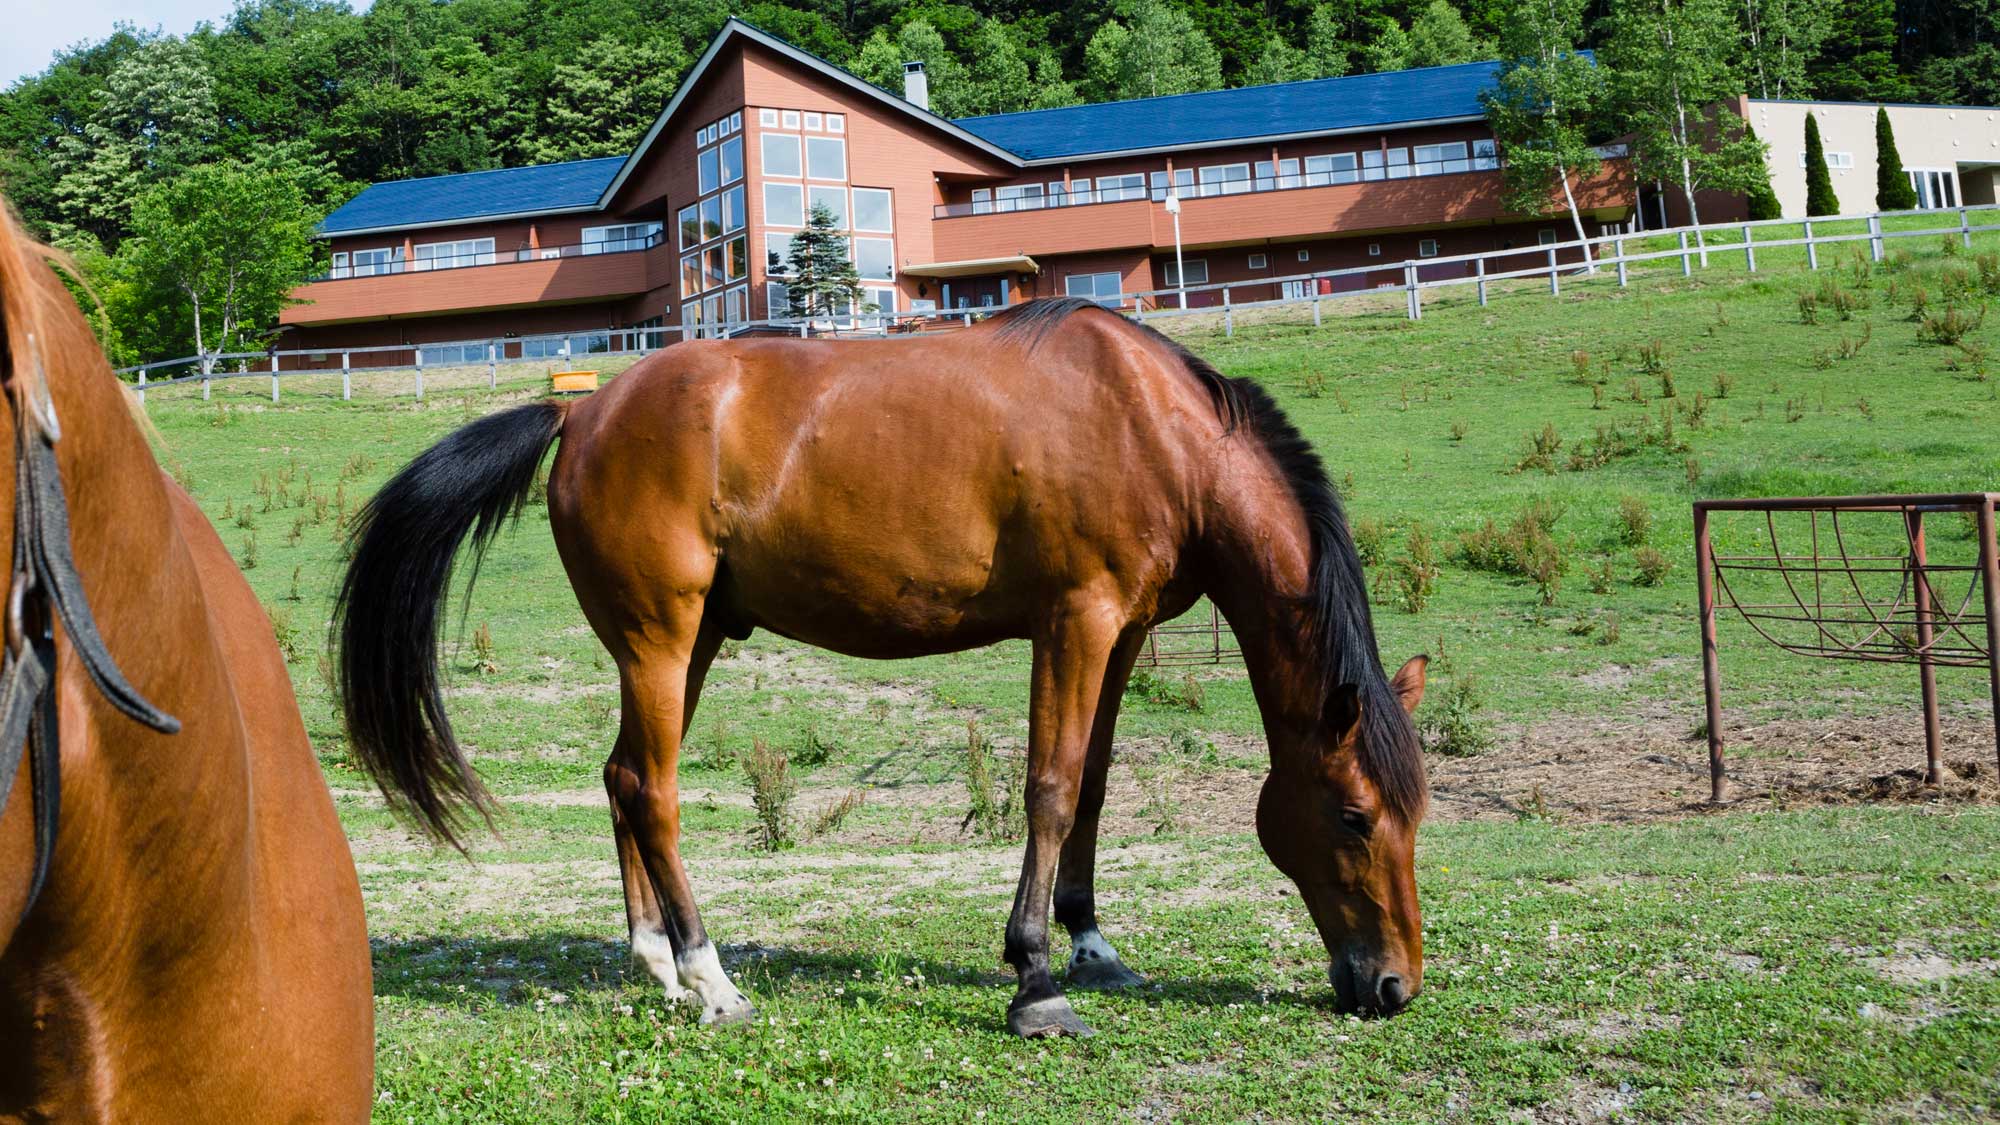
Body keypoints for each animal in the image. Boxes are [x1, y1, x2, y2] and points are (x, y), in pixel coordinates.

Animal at [336, 296, 1424, 1032]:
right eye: (1353, 815)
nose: (1392, 984)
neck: (1153, 427)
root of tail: (583, 413)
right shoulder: (1074, 621)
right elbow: (1049, 789)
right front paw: (1035, 978)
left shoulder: (1121, 633)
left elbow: (1095, 786)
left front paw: (1091, 944)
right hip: (658, 638)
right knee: (651, 788)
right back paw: (710, 977)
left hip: (688, 644)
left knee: (618, 779)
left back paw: (656, 960)